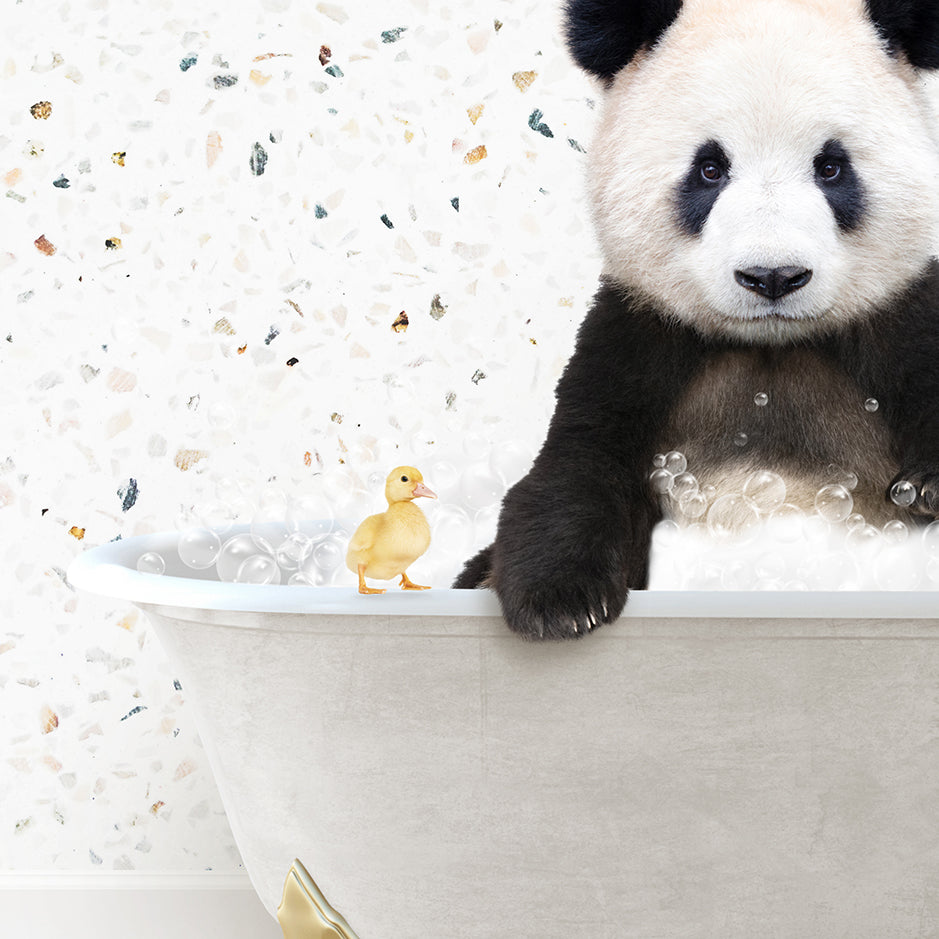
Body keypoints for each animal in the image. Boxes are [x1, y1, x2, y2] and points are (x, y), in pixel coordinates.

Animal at [458, 0, 939, 640]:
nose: (773, 276)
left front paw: (928, 488)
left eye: (832, 168)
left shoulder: (901, 318)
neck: (771, 347)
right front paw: (560, 603)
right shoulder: (639, 336)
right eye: (710, 169)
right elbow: (579, 462)